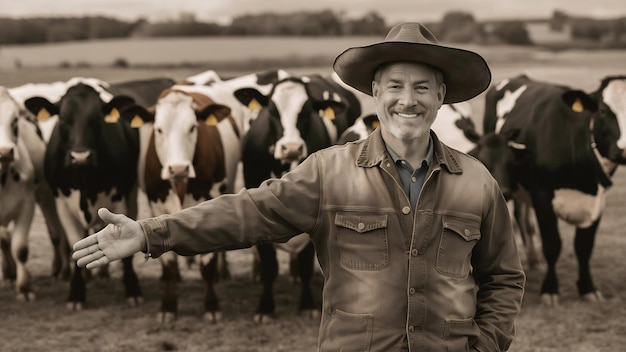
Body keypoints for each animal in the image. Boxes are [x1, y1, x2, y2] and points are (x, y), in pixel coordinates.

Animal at [120, 86, 243, 324]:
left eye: (193, 127)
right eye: (158, 130)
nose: (178, 169)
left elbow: (207, 263)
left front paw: (211, 305)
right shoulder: (157, 205)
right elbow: (168, 263)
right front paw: (168, 306)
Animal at [234, 73, 360, 322]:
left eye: (308, 111)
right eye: (272, 110)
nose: (291, 147)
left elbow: (304, 264)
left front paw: (307, 305)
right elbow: (269, 264)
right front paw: (265, 307)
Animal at [470, 75, 624, 306]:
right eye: (604, 111)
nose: (623, 150)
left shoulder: (598, 200)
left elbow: (584, 247)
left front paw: (588, 288)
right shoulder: (542, 196)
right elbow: (552, 244)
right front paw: (550, 290)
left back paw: (534, 260)